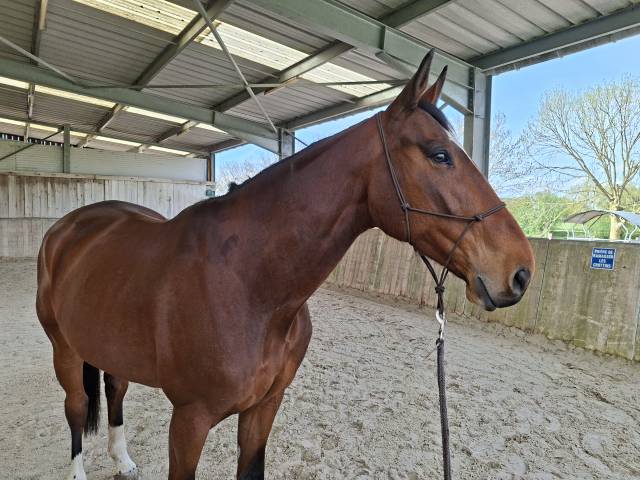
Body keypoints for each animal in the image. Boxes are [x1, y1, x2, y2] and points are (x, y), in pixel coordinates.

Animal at [36, 50, 534, 480]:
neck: (249, 285)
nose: (521, 271)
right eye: (439, 154)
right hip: (65, 349)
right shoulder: (189, 420)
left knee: (115, 391)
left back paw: (122, 460)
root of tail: (69, 227)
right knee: (76, 406)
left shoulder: (264, 409)